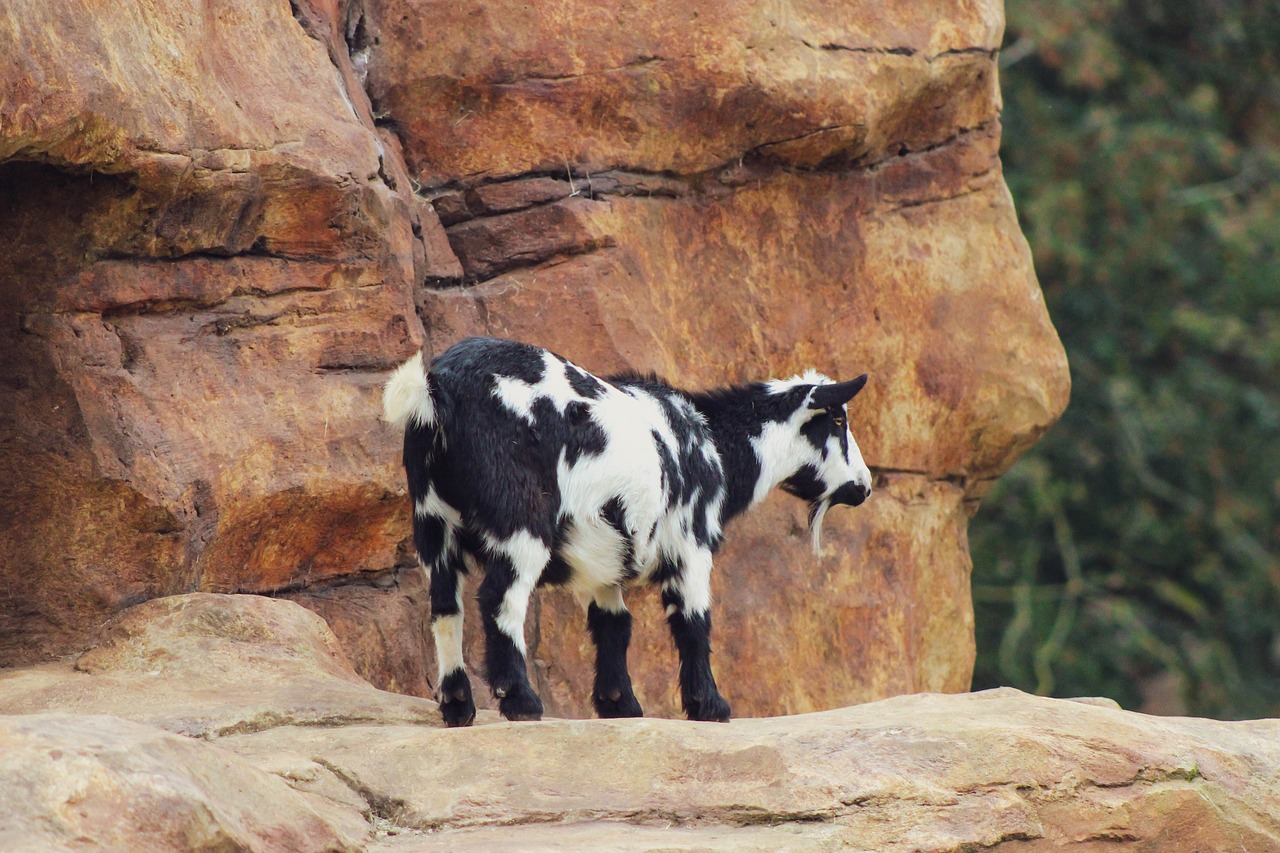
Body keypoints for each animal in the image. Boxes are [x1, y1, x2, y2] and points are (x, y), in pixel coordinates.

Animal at [378, 335, 875, 722]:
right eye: (838, 420)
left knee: (445, 605)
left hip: (432, 520)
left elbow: (612, 624)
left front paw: (620, 705)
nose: (865, 487)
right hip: (520, 519)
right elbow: (694, 622)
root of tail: (435, 388)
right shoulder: (691, 542)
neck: (712, 442)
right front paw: (710, 706)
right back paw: (521, 701)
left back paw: (457, 705)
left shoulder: (604, 556)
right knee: (501, 598)